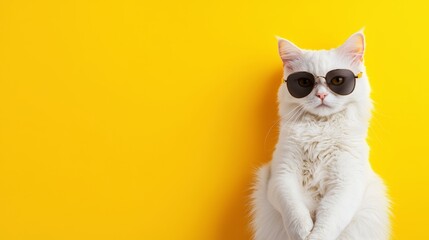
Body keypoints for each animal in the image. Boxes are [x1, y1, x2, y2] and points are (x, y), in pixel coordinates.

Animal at [251, 30, 392, 240]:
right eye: (304, 82)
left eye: (337, 81)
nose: (321, 95)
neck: (320, 129)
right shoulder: (282, 176)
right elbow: (295, 213)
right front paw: (302, 233)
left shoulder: (346, 182)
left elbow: (328, 221)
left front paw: (314, 236)